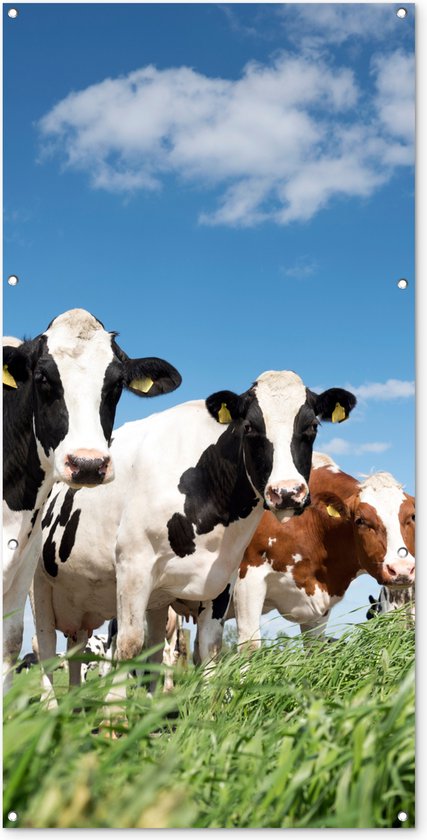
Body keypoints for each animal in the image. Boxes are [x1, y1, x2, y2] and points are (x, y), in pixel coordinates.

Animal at [30, 370, 356, 708]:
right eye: (250, 427)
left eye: (312, 426)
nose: (288, 492)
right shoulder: (133, 566)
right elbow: (130, 644)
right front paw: (114, 714)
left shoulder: (222, 579)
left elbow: (209, 648)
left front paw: (210, 709)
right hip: (38, 585)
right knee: (45, 647)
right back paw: (52, 706)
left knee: (88, 651)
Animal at [191, 453, 415, 657]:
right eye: (360, 520)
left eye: (412, 517)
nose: (402, 569)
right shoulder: (249, 577)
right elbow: (250, 647)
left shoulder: (321, 597)